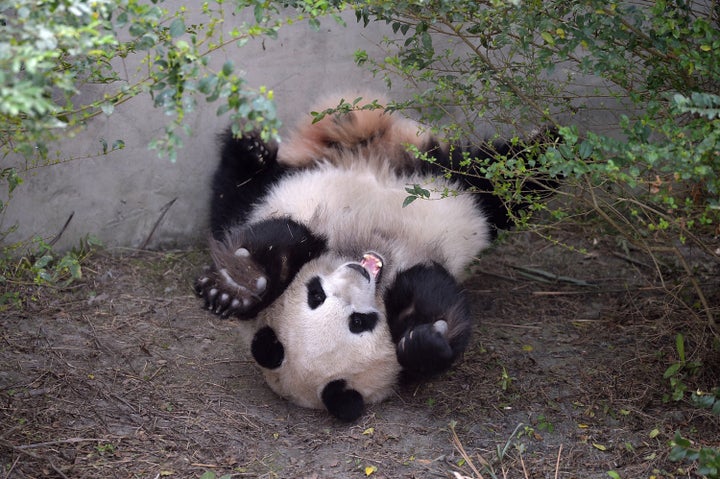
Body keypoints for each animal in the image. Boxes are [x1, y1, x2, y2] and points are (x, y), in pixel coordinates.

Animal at [194, 92, 556, 422]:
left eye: (315, 294)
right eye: (359, 323)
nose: (357, 273)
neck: (380, 262)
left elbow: (286, 238)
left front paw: (233, 286)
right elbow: (429, 289)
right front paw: (423, 342)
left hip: (437, 177)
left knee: (502, 178)